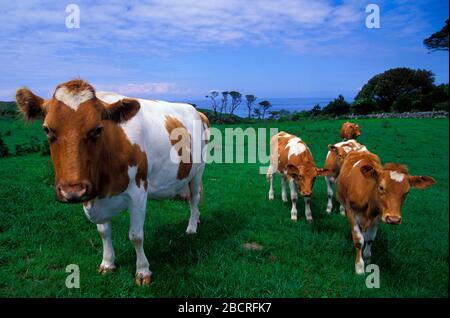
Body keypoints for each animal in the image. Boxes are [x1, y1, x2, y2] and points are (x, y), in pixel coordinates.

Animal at [15, 79, 209, 286]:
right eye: (47, 129)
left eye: (98, 129)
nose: (72, 192)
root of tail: (197, 111)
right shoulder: (93, 194)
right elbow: (103, 232)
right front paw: (108, 263)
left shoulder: (139, 191)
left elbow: (136, 236)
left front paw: (143, 271)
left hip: (198, 171)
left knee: (194, 199)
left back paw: (191, 227)